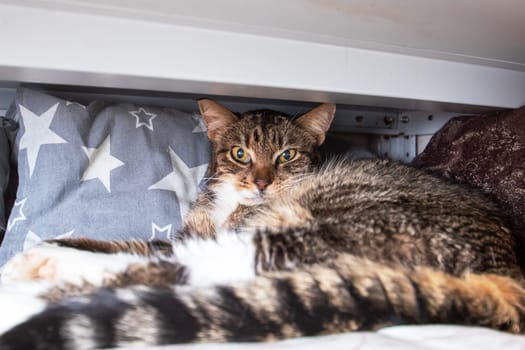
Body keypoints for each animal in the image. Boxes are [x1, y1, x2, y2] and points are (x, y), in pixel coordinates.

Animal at [0, 99, 520, 350]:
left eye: (287, 156)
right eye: (239, 154)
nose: (263, 181)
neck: (230, 205)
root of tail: (508, 275)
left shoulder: (237, 226)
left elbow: (151, 247)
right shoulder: (195, 227)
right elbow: (141, 242)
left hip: (332, 223)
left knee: (209, 268)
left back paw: (51, 271)